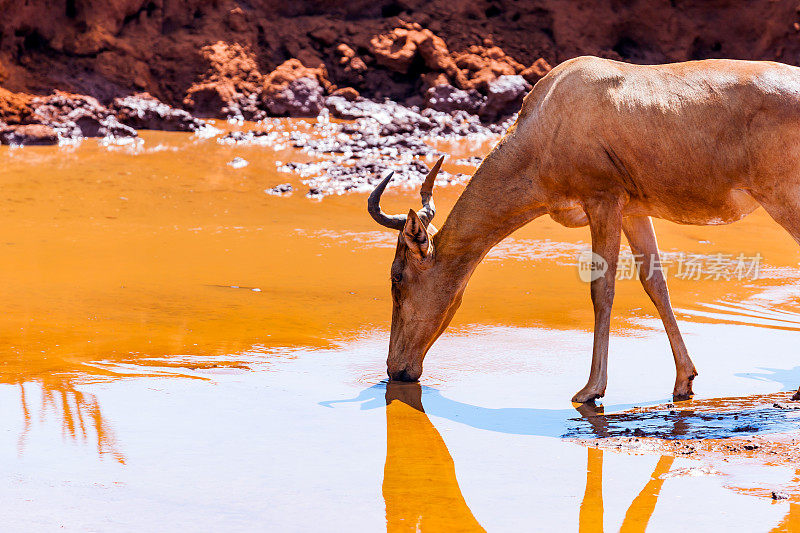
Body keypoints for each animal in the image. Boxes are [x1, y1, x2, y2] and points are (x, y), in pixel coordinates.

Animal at [370, 56, 800, 402]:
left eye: (397, 278)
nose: (397, 371)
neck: (552, 109)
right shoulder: (632, 210)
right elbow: (654, 284)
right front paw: (684, 382)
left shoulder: (602, 201)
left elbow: (602, 289)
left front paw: (591, 390)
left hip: (785, 202)